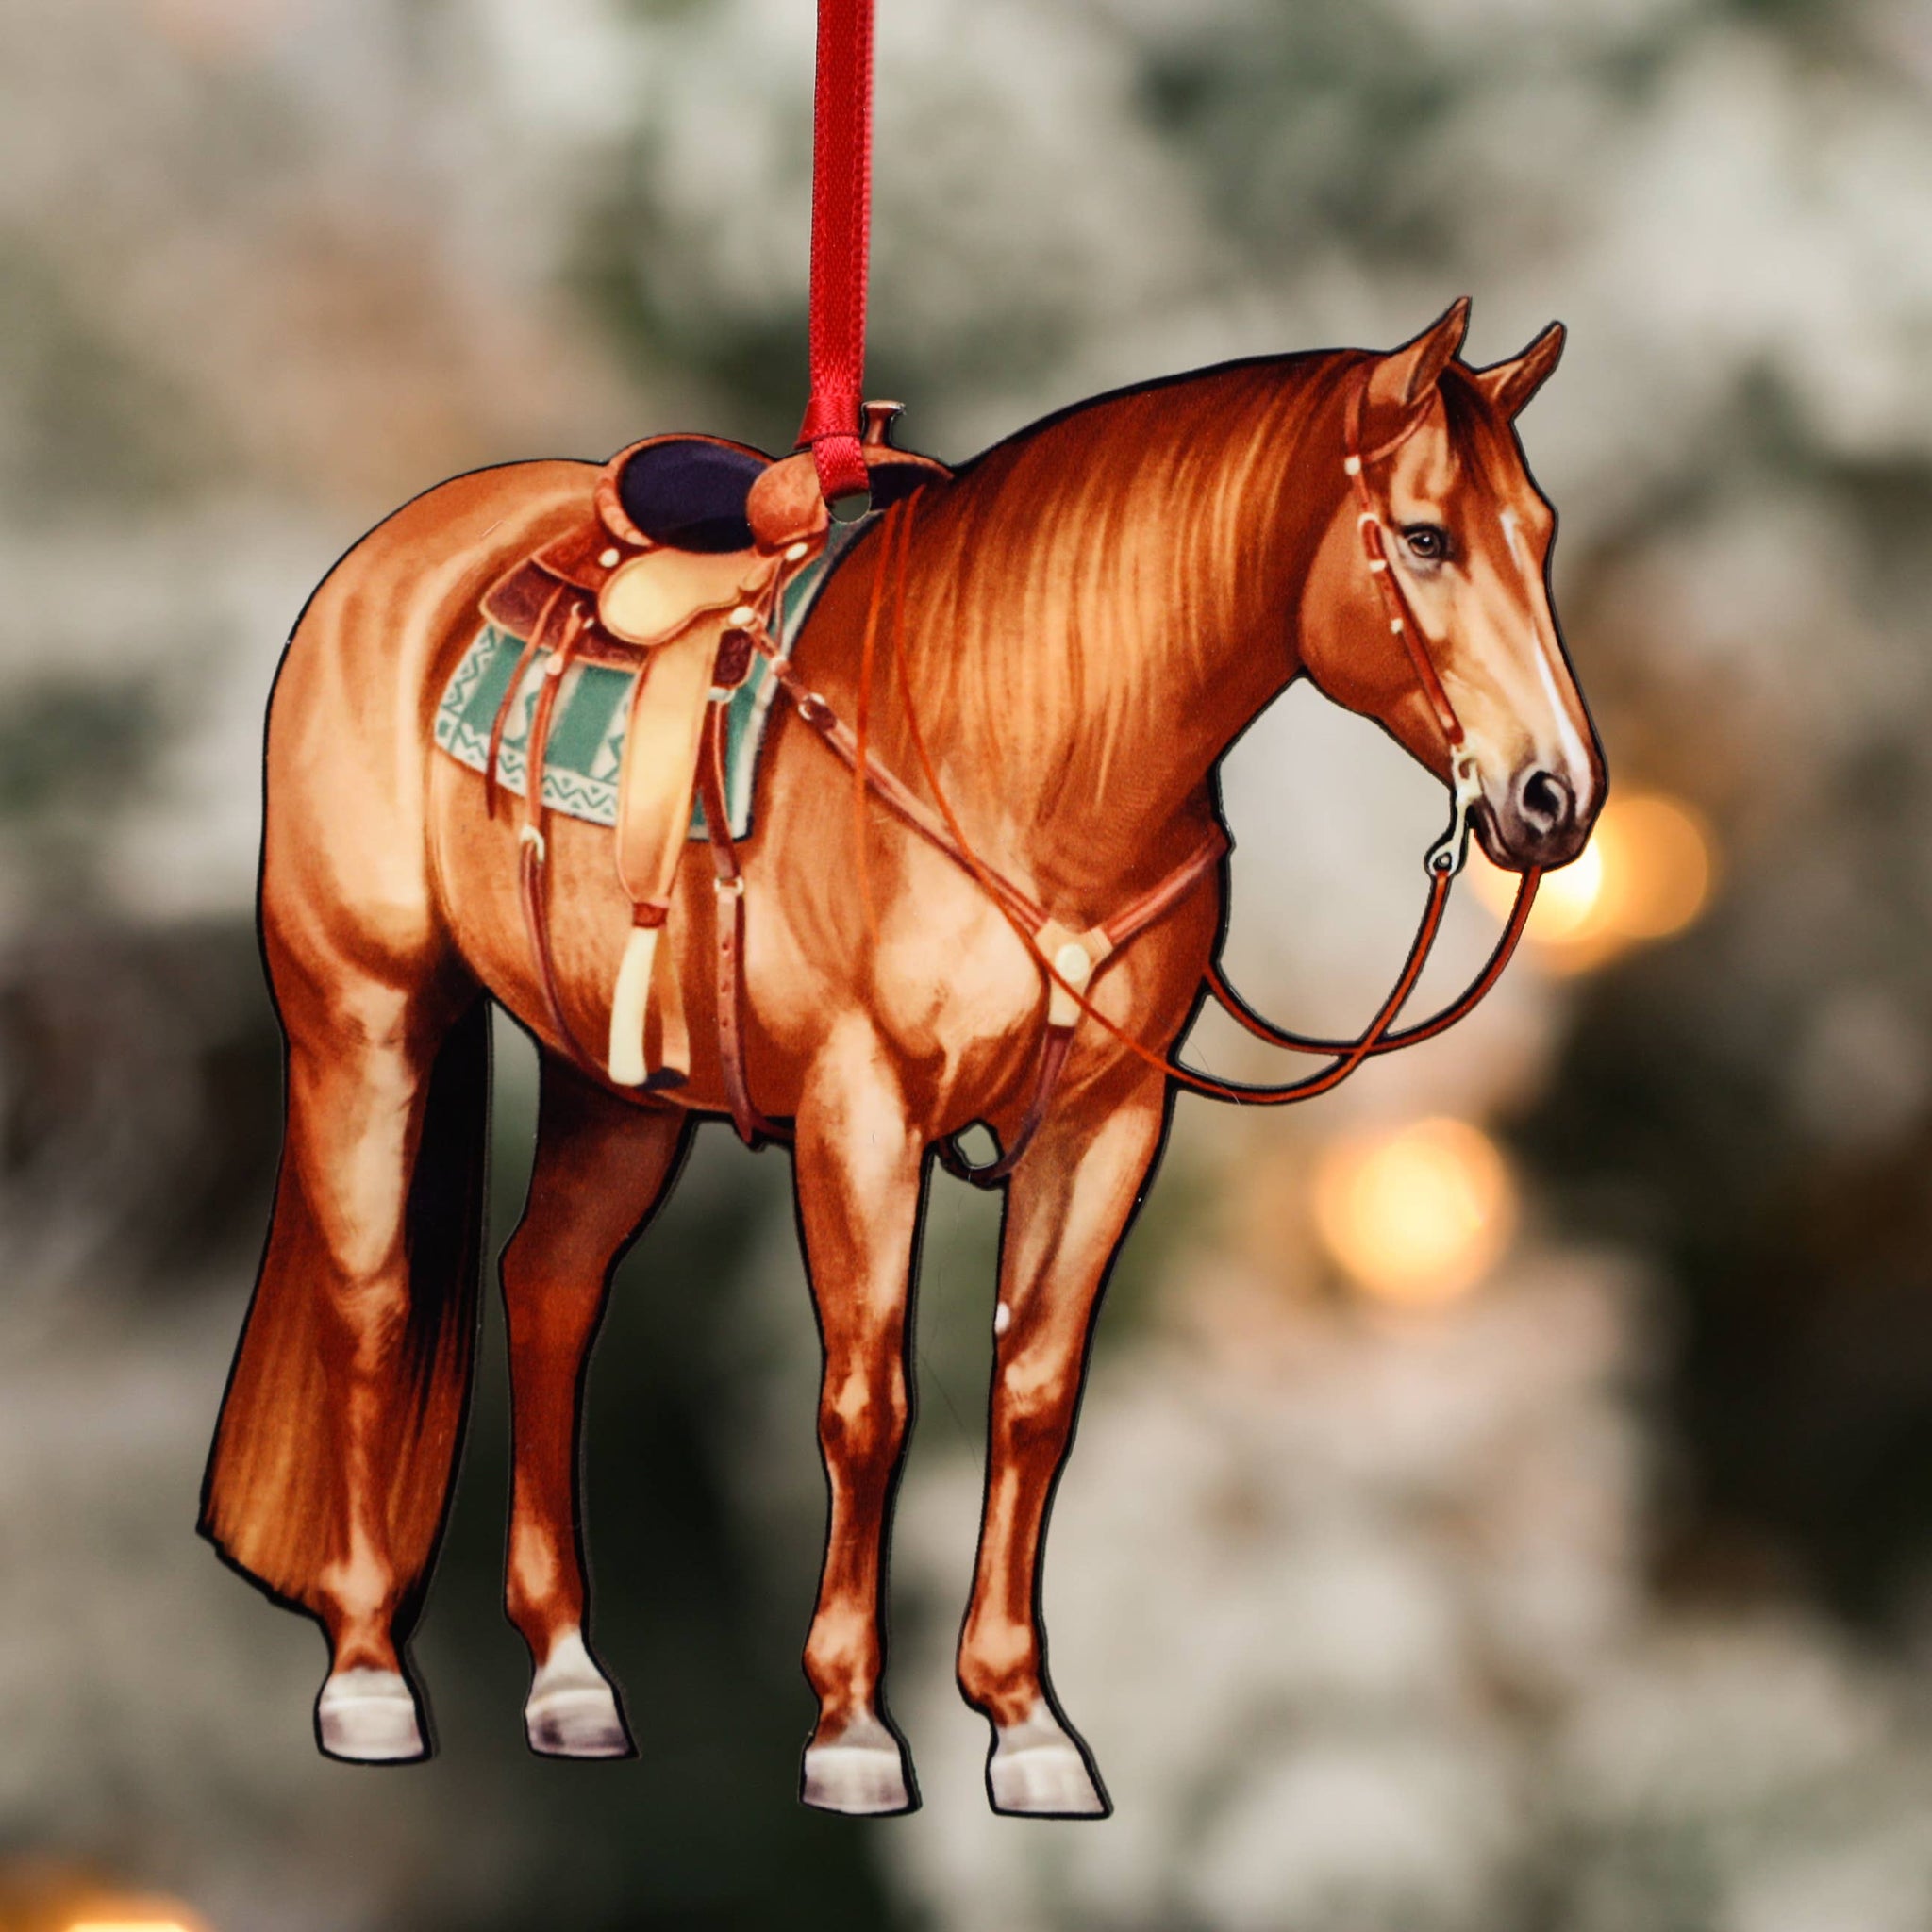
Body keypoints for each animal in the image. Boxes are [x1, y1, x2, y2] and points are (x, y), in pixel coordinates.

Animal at [201, 297, 1603, 1817]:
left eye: (1539, 528)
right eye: (1424, 537)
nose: (1558, 797)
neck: (1031, 756)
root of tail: (391, 558)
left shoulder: (1107, 1120)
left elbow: (1034, 1395)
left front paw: (1025, 1724)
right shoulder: (859, 1110)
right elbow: (867, 1404)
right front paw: (852, 1729)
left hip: (614, 1082)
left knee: (549, 1284)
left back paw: (569, 1674)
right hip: (365, 1017)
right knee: (373, 1298)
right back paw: (366, 1672)